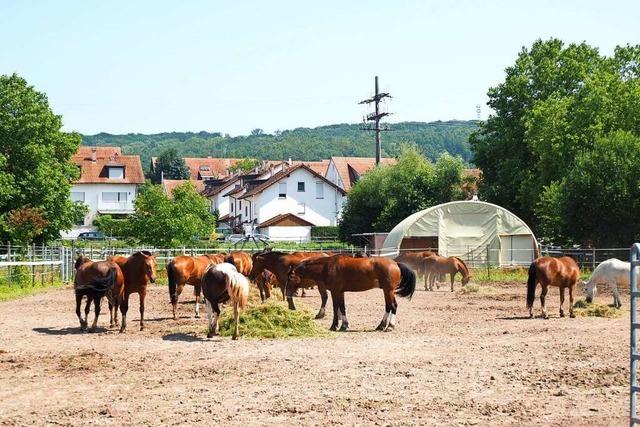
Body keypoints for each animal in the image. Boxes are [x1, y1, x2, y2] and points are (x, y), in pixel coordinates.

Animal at [288, 256, 418, 332]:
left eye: (290, 277)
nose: (288, 293)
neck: (327, 266)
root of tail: (395, 263)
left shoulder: (335, 291)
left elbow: (336, 307)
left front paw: (334, 326)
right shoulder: (340, 292)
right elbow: (342, 307)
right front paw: (344, 325)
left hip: (389, 290)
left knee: (393, 306)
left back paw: (390, 326)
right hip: (386, 291)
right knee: (388, 306)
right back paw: (381, 326)